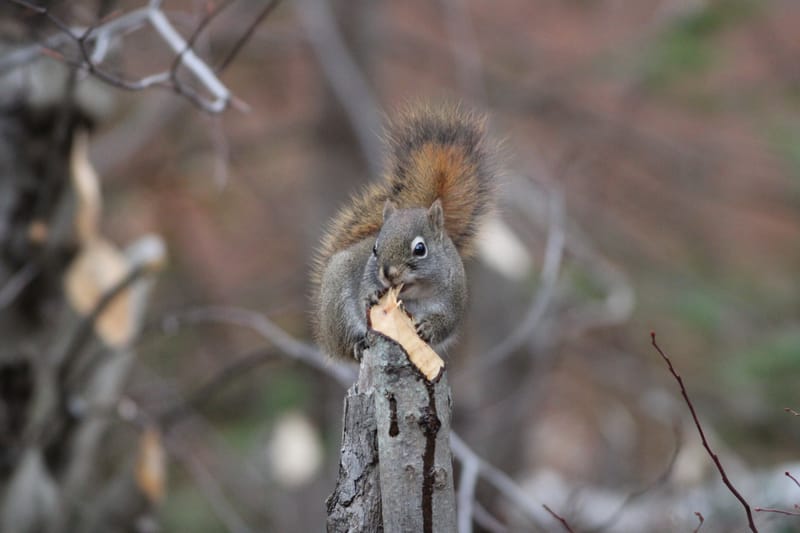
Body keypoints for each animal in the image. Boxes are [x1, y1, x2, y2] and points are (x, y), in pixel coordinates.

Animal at [311, 102, 497, 360]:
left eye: (420, 249)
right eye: (375, 248)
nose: (388, 274)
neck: (412, 296)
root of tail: (325, 334)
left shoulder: (453, 299)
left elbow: (446, 323)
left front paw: (429, 328)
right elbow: (364, 294)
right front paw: (371, 296)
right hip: (336, 305)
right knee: (346, 342)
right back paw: (355, 344)